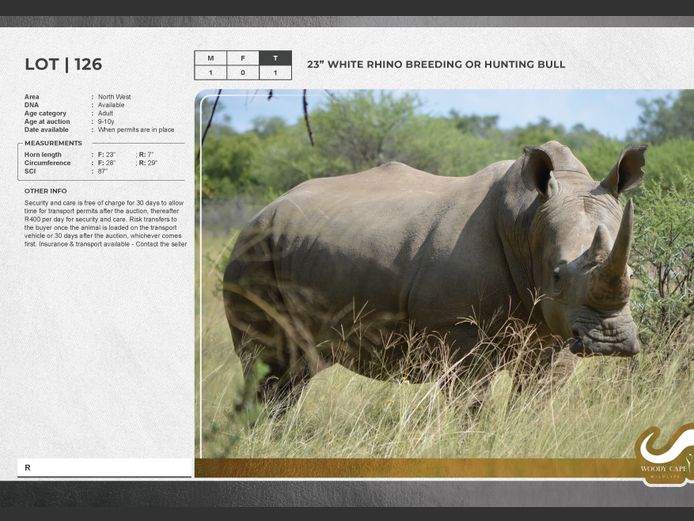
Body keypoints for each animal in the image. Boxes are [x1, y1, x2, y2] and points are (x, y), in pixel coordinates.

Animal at [223, 140, 646, 393]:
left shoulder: (555, 331)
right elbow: (471, 400)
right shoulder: (458, 327)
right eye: (557, 277)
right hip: (252, 252)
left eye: (633, 275)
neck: (527, 221)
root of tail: (262, 211)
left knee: (296, 372)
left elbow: (536, 399)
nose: (611, 341)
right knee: (267, 365)